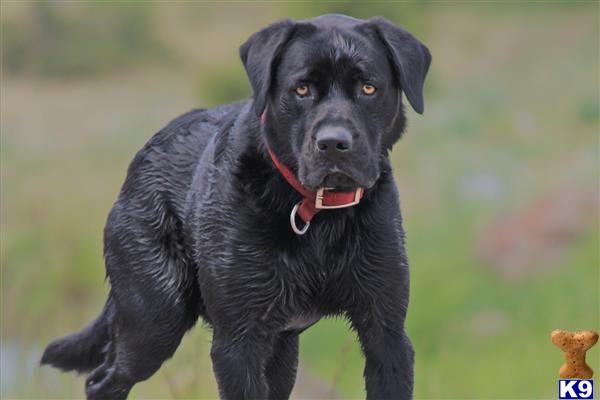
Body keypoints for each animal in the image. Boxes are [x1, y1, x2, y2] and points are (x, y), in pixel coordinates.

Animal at [41, 13, 432, 400]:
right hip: (154, 318)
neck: (317, 212)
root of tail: (145, 152)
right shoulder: (237, 343)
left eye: (368, 88)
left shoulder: (386, 333)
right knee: (102, 380)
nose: (334, 143)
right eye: (301, 89)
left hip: (280, 352)